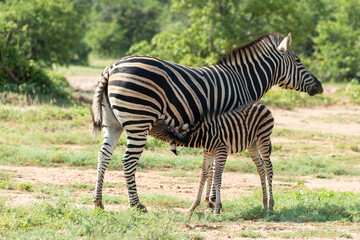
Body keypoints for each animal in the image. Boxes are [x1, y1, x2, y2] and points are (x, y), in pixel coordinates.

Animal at [91, 32, 322, 211]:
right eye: (298, 61)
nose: (319, 87)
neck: (243, 81)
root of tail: (112, 67)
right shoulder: (231, 122)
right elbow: (217, 166)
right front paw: (212, 201)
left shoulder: (217, 128)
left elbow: (210, 165)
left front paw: (208, 201)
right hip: (139, 121)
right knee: (128, 161)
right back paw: (136, 205)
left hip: (113, 123)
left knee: (103, 156)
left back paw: (98, 202)